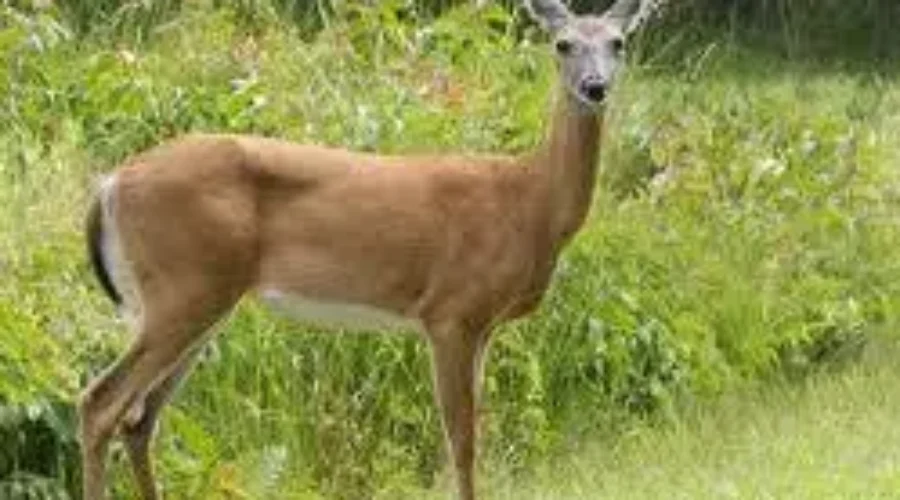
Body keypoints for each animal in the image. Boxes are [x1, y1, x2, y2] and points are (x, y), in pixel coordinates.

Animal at [78, 1, 651, 498]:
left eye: (618, 42)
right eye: (562, 43)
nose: (595, 87)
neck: (528, 203)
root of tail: (110, 184)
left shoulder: (483, 326)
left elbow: (467, 437)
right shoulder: (451, 312)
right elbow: (462, 443)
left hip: (198, 300)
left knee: (140, 420)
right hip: (185, 287)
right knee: (100, 403)